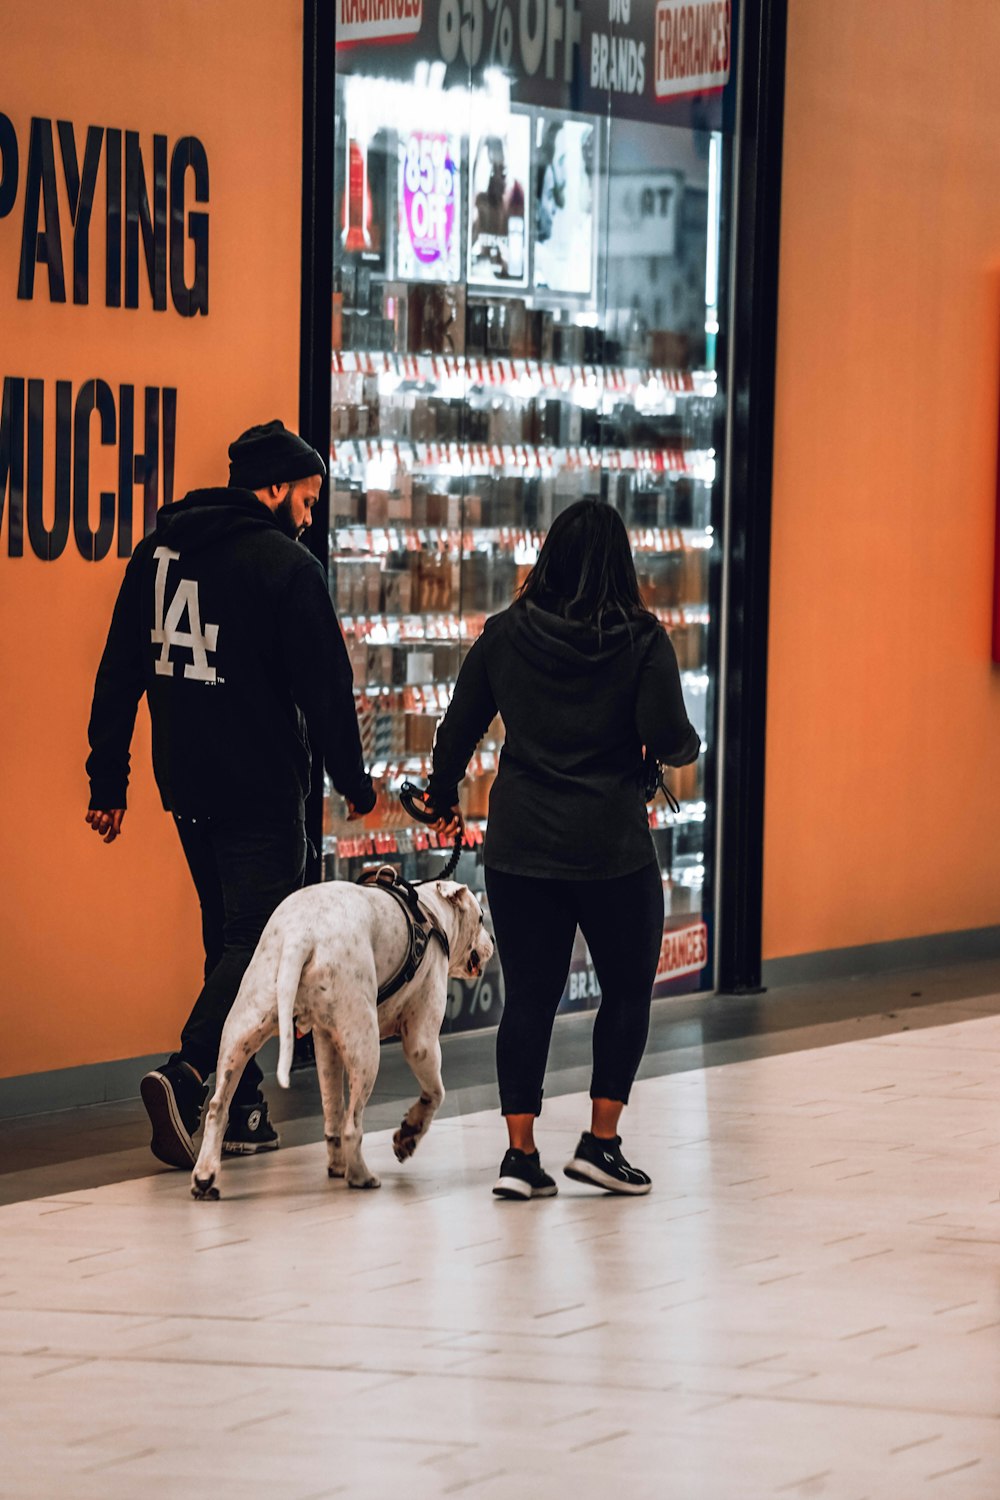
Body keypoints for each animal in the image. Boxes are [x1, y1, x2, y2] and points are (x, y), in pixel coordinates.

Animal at [188, 876, 491, 1200]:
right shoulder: (421, 1042)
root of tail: (302, 935)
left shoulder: (325, 1039)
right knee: (352, 1125)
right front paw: (409, 1133)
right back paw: (360, 1176)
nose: (493, 941)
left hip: (242, 1028)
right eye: (481, 918)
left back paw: (205, 1176)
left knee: (219, 1107)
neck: (430, 911)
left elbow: (332, 1106)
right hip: (366, 1046)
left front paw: (338, 1163)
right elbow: (435, 1093)